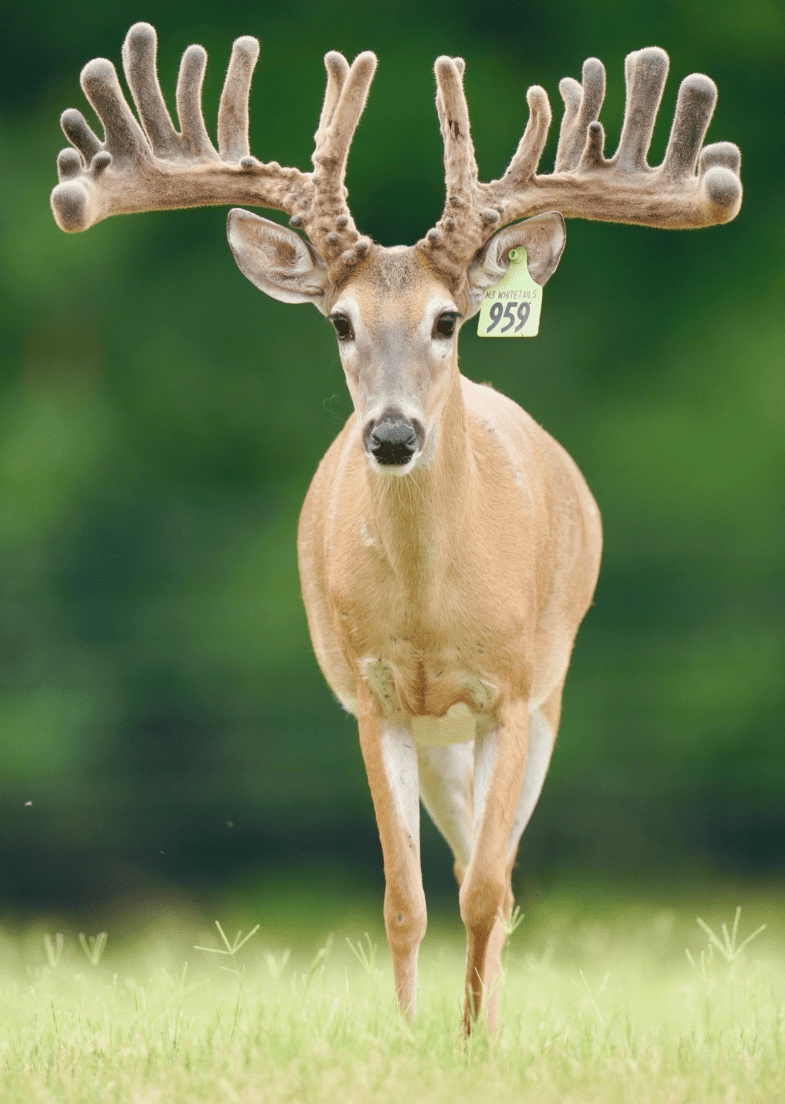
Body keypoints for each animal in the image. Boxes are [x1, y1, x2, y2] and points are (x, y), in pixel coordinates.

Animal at [51, 23, 742, 1032]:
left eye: (448, 320)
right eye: (339, 323)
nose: (389, 434)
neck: (429, 609)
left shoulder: (515, 689)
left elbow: (488, 891)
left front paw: (471, 1042)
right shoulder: (373, 696)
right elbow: (403, 898)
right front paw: (411, 1035)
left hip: (548, 694)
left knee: (498, 874)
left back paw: (486, 1017)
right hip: (436, 733)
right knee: (453, 866)